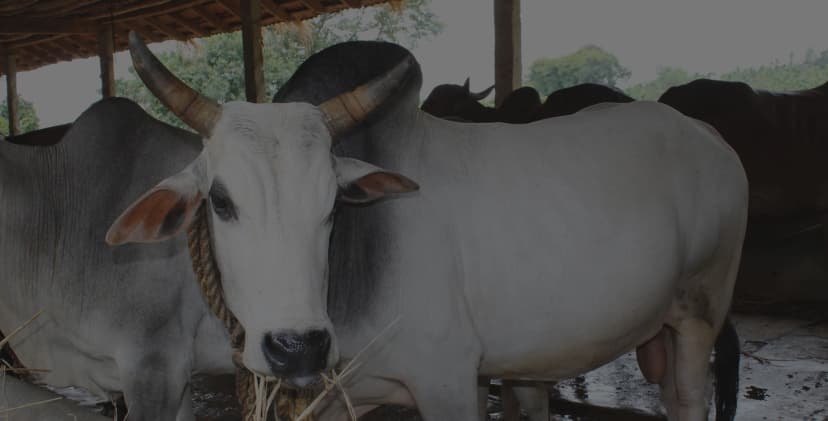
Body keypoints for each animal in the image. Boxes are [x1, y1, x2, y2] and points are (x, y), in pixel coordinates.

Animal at [110, 32, 748, 421]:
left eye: (333, 205)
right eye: (220, 201)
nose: (298, 348)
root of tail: (708, 136)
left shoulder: (448, 380)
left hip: (700, 310)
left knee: (690, 398)